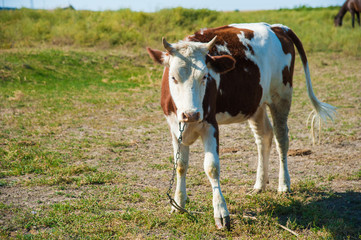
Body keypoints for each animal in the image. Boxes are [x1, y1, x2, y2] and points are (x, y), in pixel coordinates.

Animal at [146, 23, 334, 231]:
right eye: (173, 77)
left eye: (205, 76)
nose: (192, 114)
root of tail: (277, 27)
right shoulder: (174, 127)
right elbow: (180, 165)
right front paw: (178, 204)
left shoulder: (211, 125)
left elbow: (212, 167)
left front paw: (221, 212)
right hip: (256, 105)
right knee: (263, 137)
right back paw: (260, 185)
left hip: (282, 96)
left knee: (281, 139)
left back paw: (284, 185)